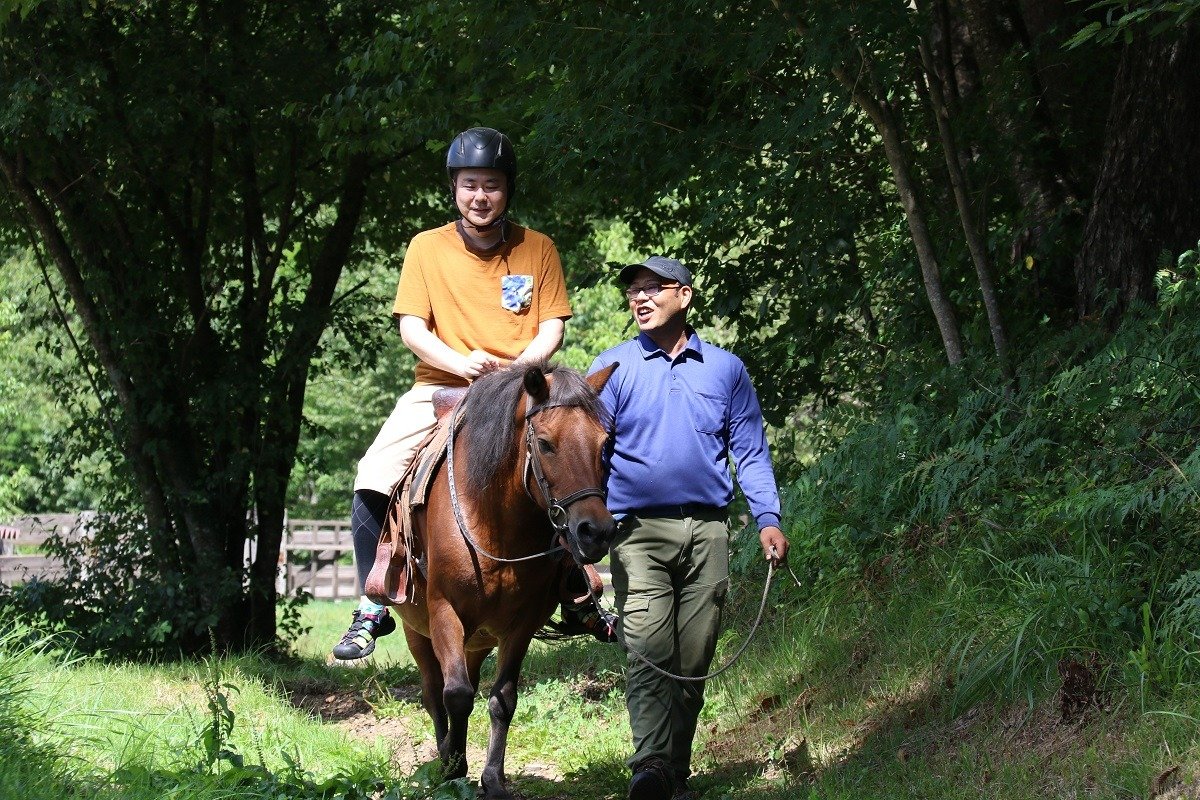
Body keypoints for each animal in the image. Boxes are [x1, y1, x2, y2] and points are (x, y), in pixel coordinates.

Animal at [379, 364, 614, 800]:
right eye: (545, 444)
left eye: (604, 442)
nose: (597, 532)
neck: (492, 523)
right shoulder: (444, 614)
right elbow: (454, 696)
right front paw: (453, 768)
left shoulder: (520, 625)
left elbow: (501, 699)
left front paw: (492, 779)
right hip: (417, 631)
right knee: (435, 694)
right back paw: (445, 751)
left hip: (477, 641)